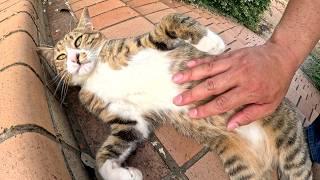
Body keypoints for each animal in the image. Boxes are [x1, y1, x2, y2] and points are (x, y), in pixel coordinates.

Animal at [36, 7, 312, 179]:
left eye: (79, 41)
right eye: (60, 57)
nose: (75, 58)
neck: (96, 72)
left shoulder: (145, 44)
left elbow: (171, 19)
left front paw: (211, 43)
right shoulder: (129, 120)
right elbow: (110, 149)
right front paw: (121, 173)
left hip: (289, 141)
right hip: (241, 165)